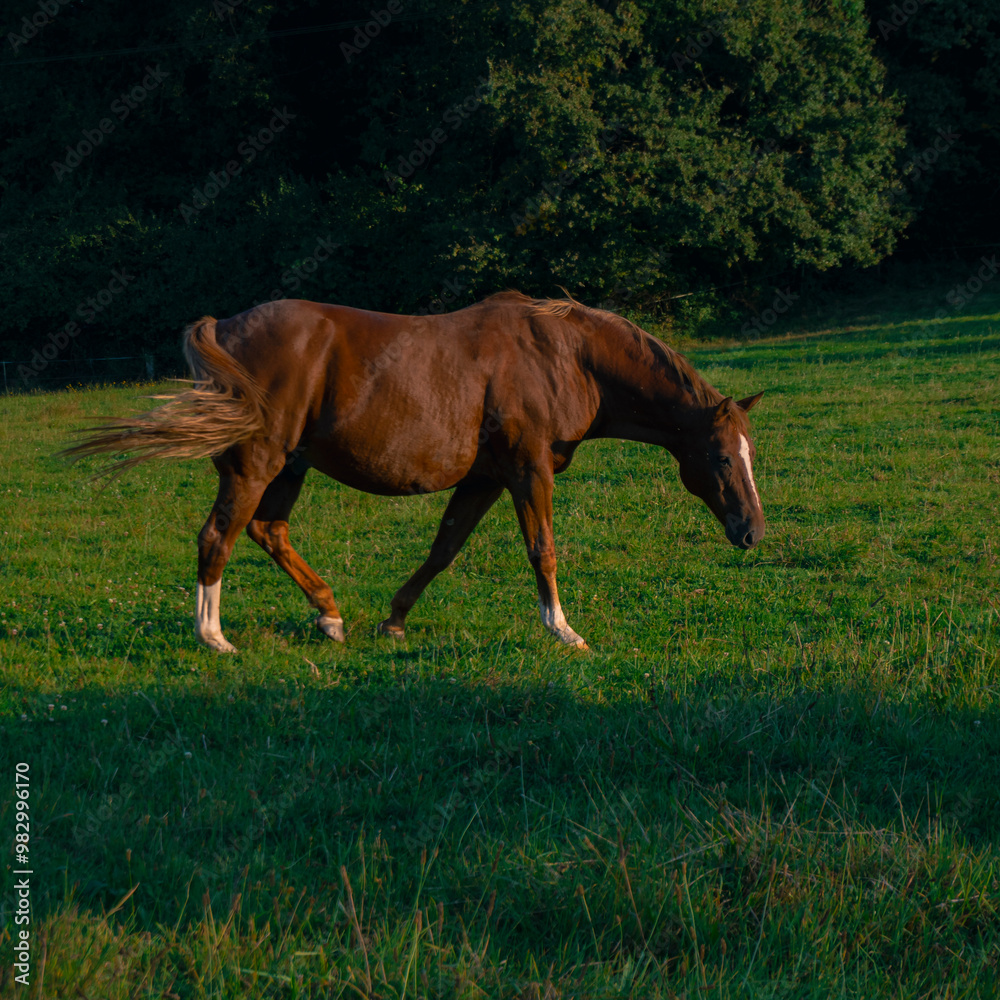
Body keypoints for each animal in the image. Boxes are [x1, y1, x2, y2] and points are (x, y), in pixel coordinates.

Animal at [65, 291, 765, 651]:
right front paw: (563, 630)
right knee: (219, 537)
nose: (752, 531)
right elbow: (542, 549)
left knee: (268, 533)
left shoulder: (485, 479)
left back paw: (329, 615)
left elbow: (443, 549)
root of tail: (227, 327)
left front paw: (394, 620)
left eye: (750, 453)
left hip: (288, 468)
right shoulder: (528, 470)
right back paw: (213, 637)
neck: (566, 355)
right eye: (722, 457)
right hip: (255, 465)